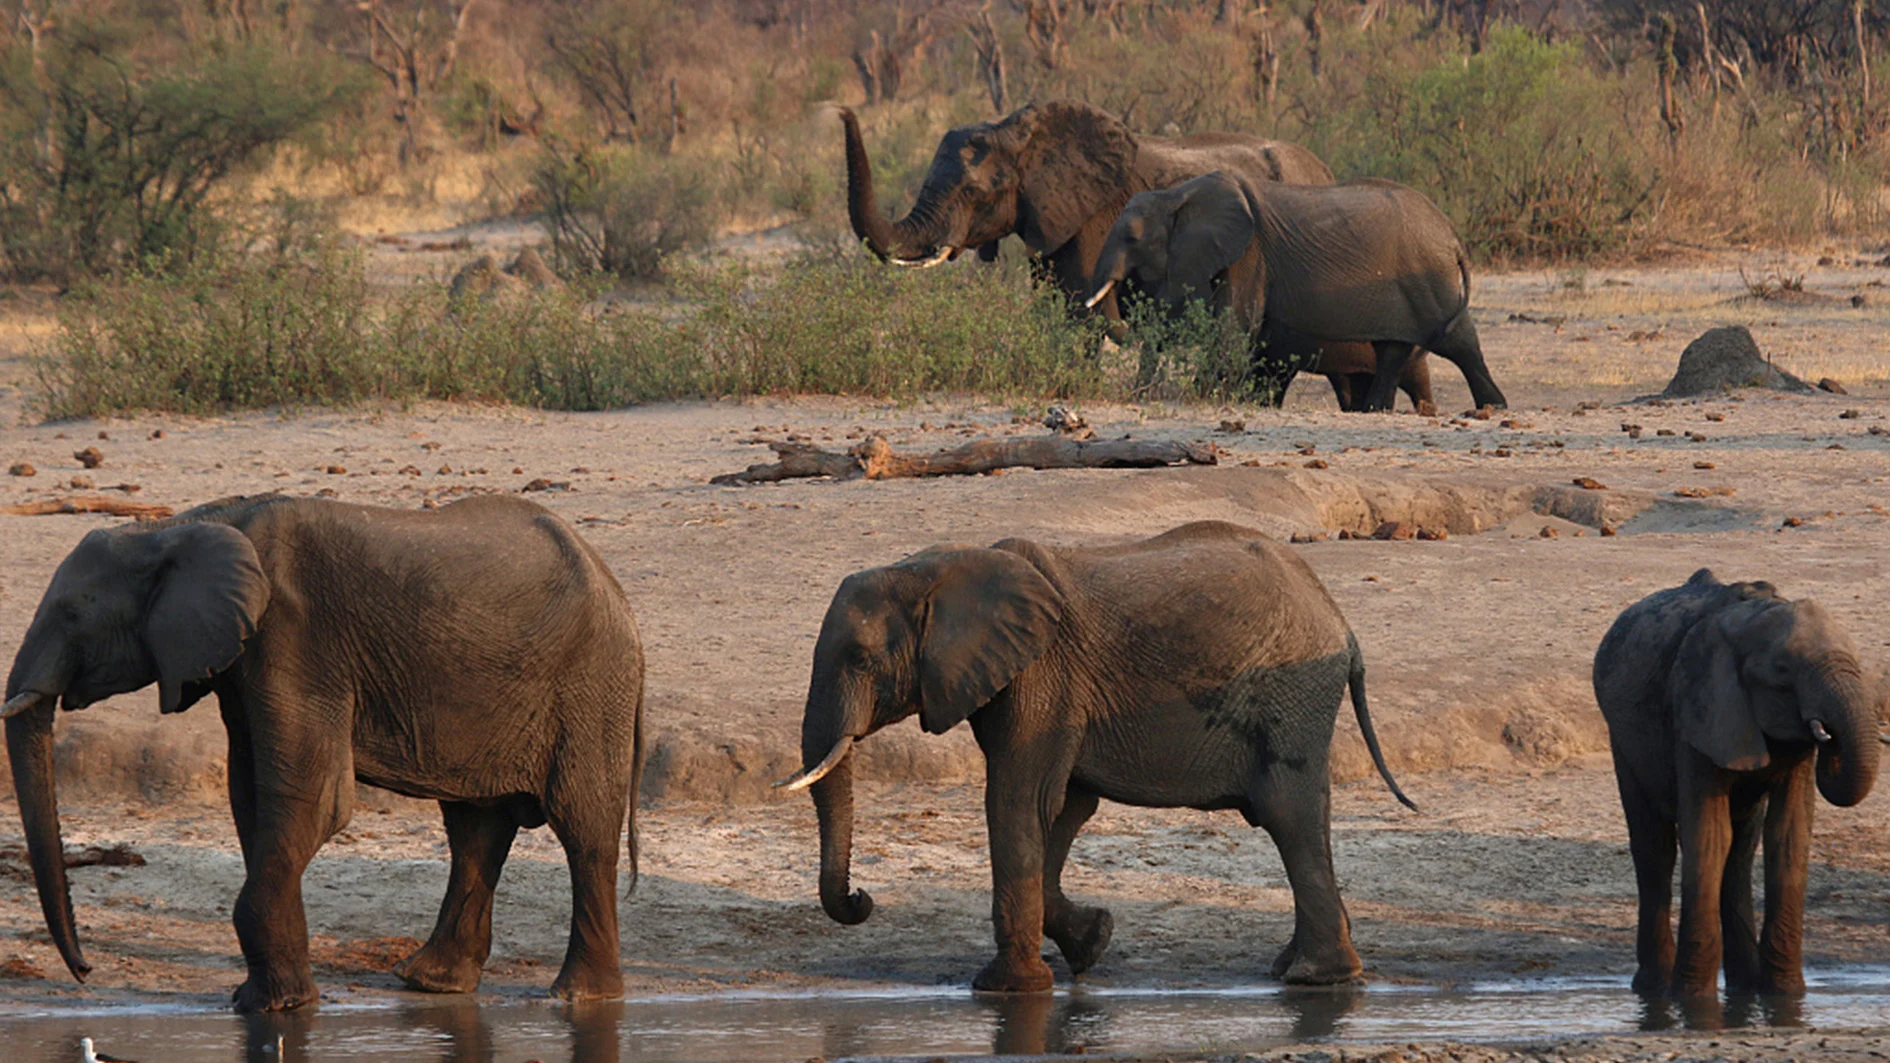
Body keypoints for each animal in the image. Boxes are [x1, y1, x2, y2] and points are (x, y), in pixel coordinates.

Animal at [3, 493, 645, 1012]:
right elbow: (251, 796)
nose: (85, 971)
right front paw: (268, 1000)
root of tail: (616, 588)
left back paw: (579, 996)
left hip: (590, 686)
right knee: (475, 827)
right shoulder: (245, 658)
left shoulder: (295, 638)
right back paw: (429, 982)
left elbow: (312, 800)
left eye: (72, 614)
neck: (182, 525)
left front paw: (272, 1008)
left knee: (581, 827)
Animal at [777, 520, 1415, 992]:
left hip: (1292, 695)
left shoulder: (1041, 676)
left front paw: (1007, 989)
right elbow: (1063, 809)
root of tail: (1341, 622)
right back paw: (1299, 970)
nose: (862, 899)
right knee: (1302, 815)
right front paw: (1093, 943)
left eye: (861, 658)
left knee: (1288, 813)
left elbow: (1018, 802)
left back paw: (1314, 978)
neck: (938, 568)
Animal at [1084, 171, 1508, 412]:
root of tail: (1451, 235)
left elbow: (1234, 327)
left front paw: (1204, 397)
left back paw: (1494, 406)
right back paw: (1374, 410)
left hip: (1429, 279)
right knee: (1392, 348)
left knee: (1454, 339)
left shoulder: (1250, 254)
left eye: (1131, 237)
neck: (1176, 195)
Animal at [1593, 569, 1881, 999]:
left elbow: (1788, 834)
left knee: (1741, 851)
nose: (1830, 737)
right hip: (1623, 740)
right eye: (1782, 671)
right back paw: (1655, 989)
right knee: (1656, 850)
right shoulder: (1696, 709)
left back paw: (1744, 987)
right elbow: (1707, 835)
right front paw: (1692, 1001)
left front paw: (1786, 996)